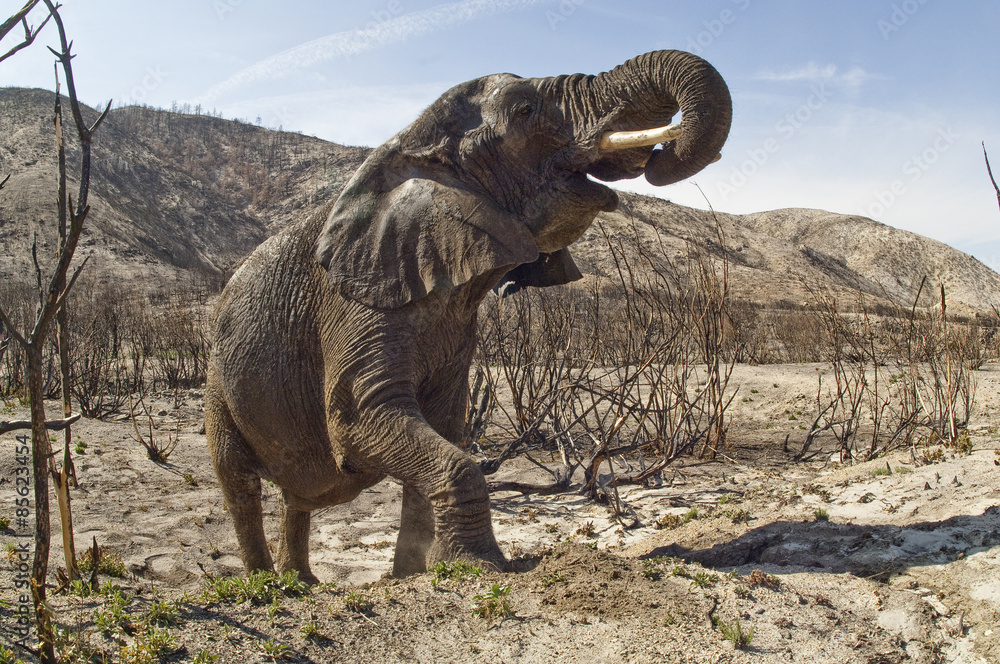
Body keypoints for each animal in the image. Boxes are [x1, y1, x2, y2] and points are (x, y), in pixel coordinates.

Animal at [205, 49, 732, 582]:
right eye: (524, 111)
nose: (660, 155)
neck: (410, 142)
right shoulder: (355, 301)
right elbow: (362, 421)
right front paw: (477, 566)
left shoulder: (456, 323)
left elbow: (444, 427)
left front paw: (415, 574)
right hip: (216, 384)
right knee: (239, 485)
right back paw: (269, 586)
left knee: (298, 497)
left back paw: (302, 583)